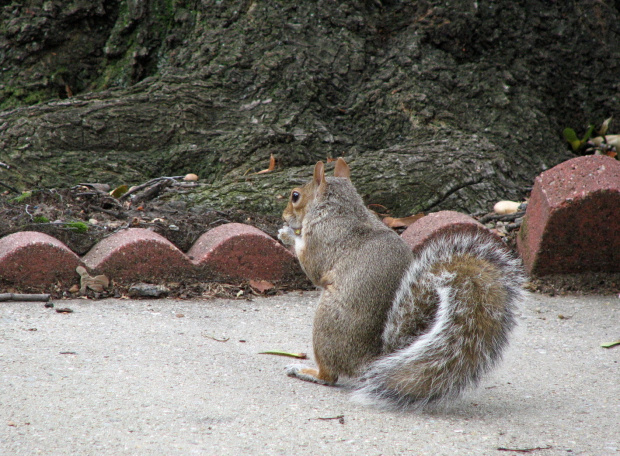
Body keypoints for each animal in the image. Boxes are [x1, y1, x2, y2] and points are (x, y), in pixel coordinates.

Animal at [278, 158, 524, 410]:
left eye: (295, 196)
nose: (284, 216)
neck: (340, 209)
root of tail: (373, 361)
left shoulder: (324, 240)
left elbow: (312, 266)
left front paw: (288, 235)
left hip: (326, 325)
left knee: (329, 376)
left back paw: (306, 371)